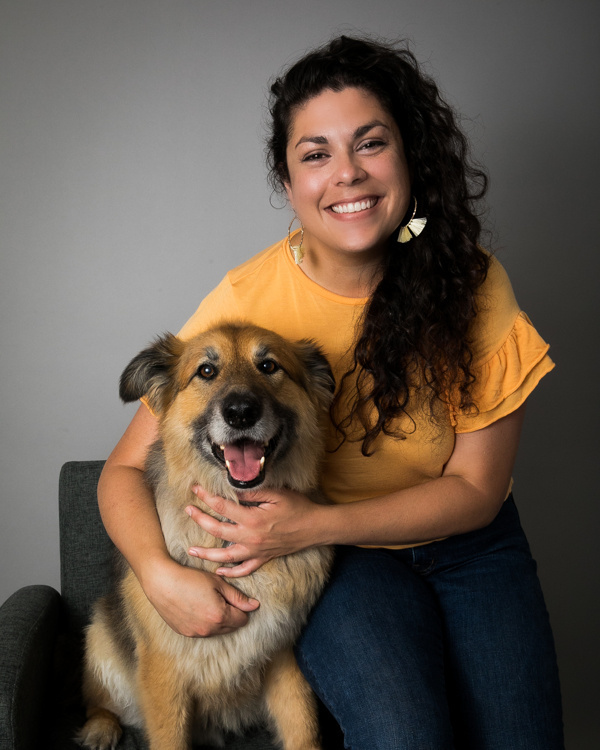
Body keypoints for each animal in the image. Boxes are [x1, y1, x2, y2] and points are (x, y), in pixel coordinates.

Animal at [77, 324, 336, 750]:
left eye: (269, 366)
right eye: (206, 371)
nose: (241, 412)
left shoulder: (283, 658)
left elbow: (303, 730)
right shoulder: (164, 675)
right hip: (99, 636)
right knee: (99, 700)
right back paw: (102, 728)